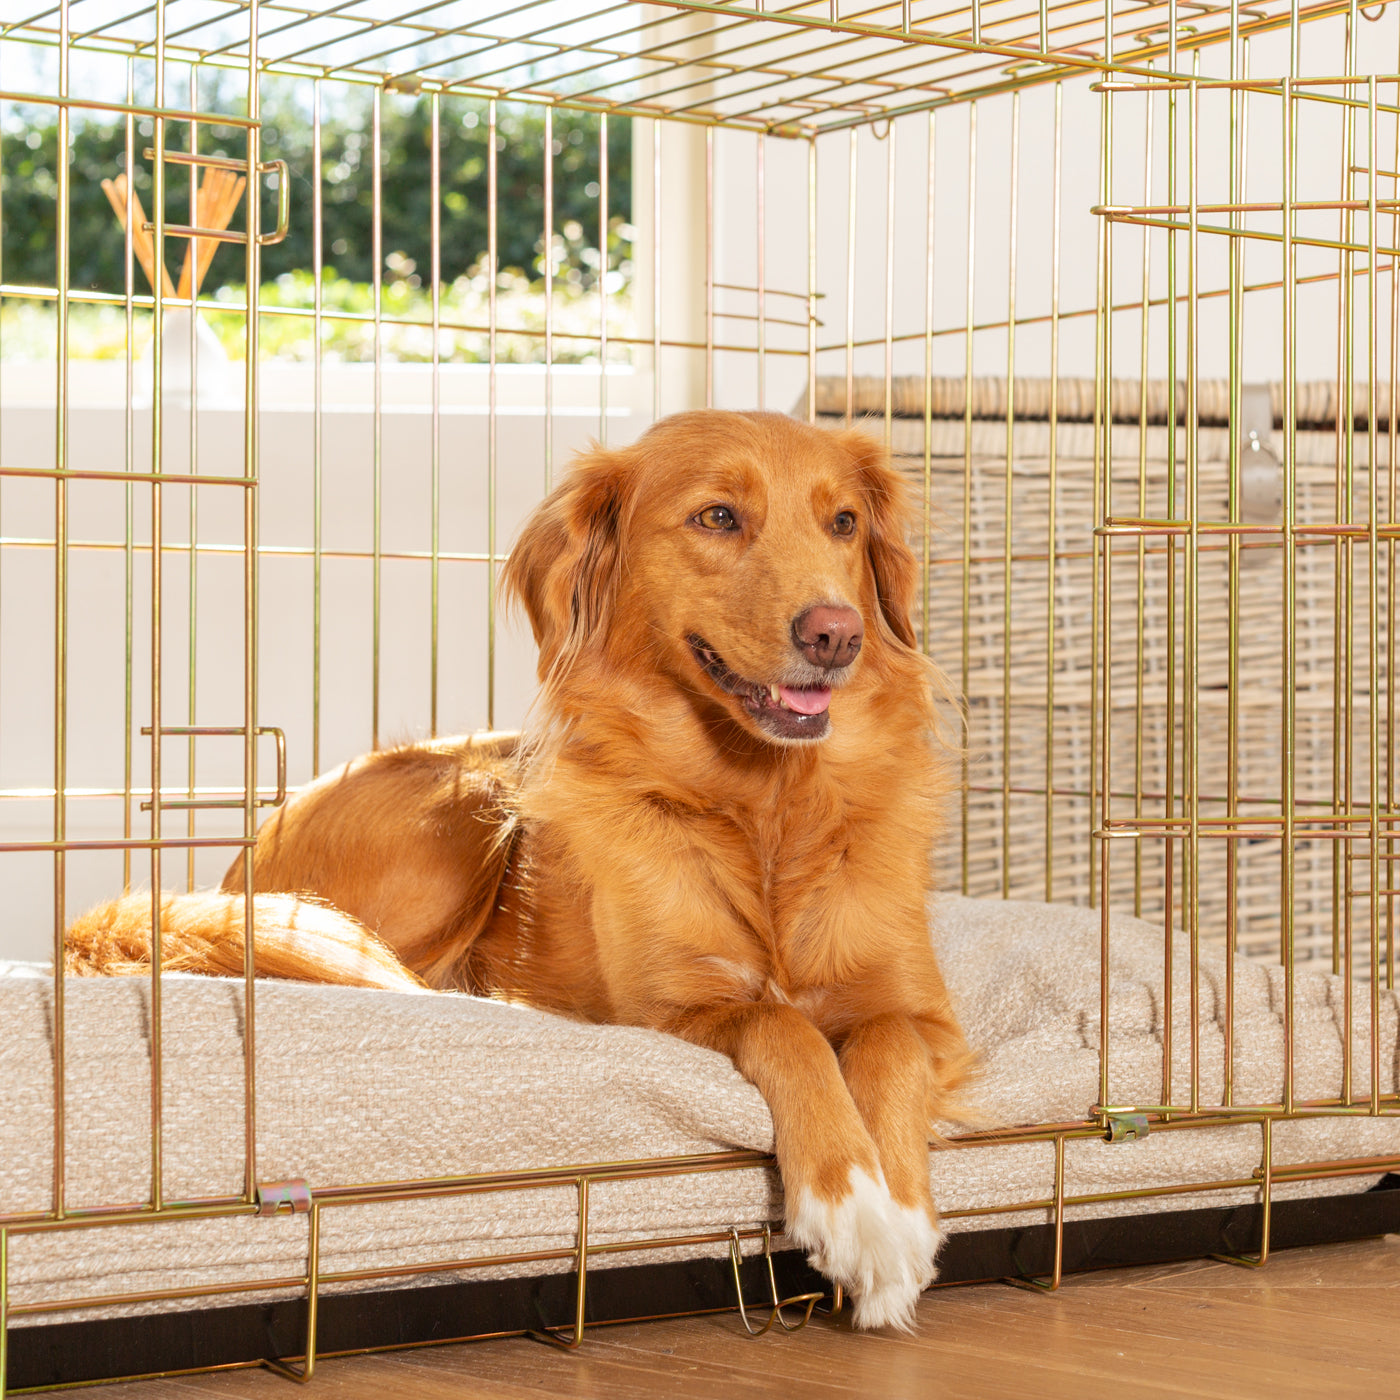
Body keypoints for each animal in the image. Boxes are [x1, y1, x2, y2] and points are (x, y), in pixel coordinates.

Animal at [71, 408, 968, 1327]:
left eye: (844, 523)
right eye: (718, 516)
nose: (837, 633)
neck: (766, 809)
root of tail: (234, 875)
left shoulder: (926, 1015)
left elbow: (887, 1042)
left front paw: (897, 1213)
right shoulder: (665, 1013)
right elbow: (783, 1027)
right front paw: (852, 1208)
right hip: (464, 809)